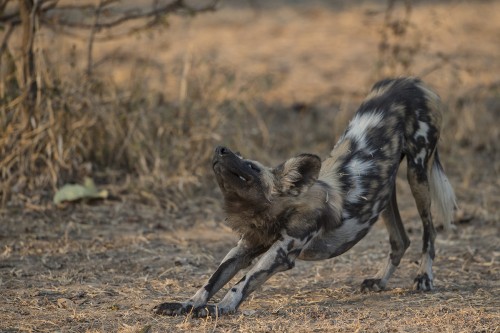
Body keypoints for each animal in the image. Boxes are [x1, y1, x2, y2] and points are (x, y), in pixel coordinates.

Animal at [154, 76, 456, 316]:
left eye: (251, 166)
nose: (220, 149)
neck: (272, 212)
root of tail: (412, 81)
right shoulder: (245, 246)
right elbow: (212, 280)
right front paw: (186, 305)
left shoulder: (281, 252)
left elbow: (242, 282)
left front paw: (220, 308)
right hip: (385, 193)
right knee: (400, 239)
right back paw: (380, 282)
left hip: (417, 173)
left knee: (429, 230)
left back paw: (424, 277)